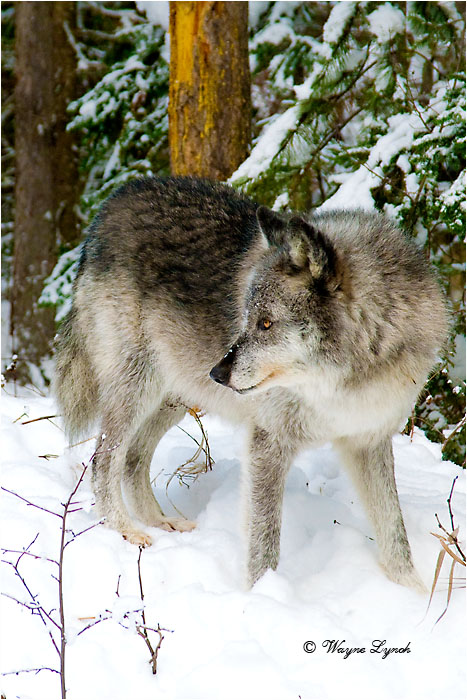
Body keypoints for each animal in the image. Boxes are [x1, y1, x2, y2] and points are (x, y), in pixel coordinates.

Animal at [54, 176, 447, 591]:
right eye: (248, 319)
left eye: (266, 324)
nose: (218, 373)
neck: (343, 381)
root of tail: (115, 200)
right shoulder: (268, 441)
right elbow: (264, 542)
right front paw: (264, 594)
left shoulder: (368, 440)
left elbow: (394, 531)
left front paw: (415, 592)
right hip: (138, 387)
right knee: (103, 461)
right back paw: (125, 530)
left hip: (177, 395)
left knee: (131, 460)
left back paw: (162, 523)